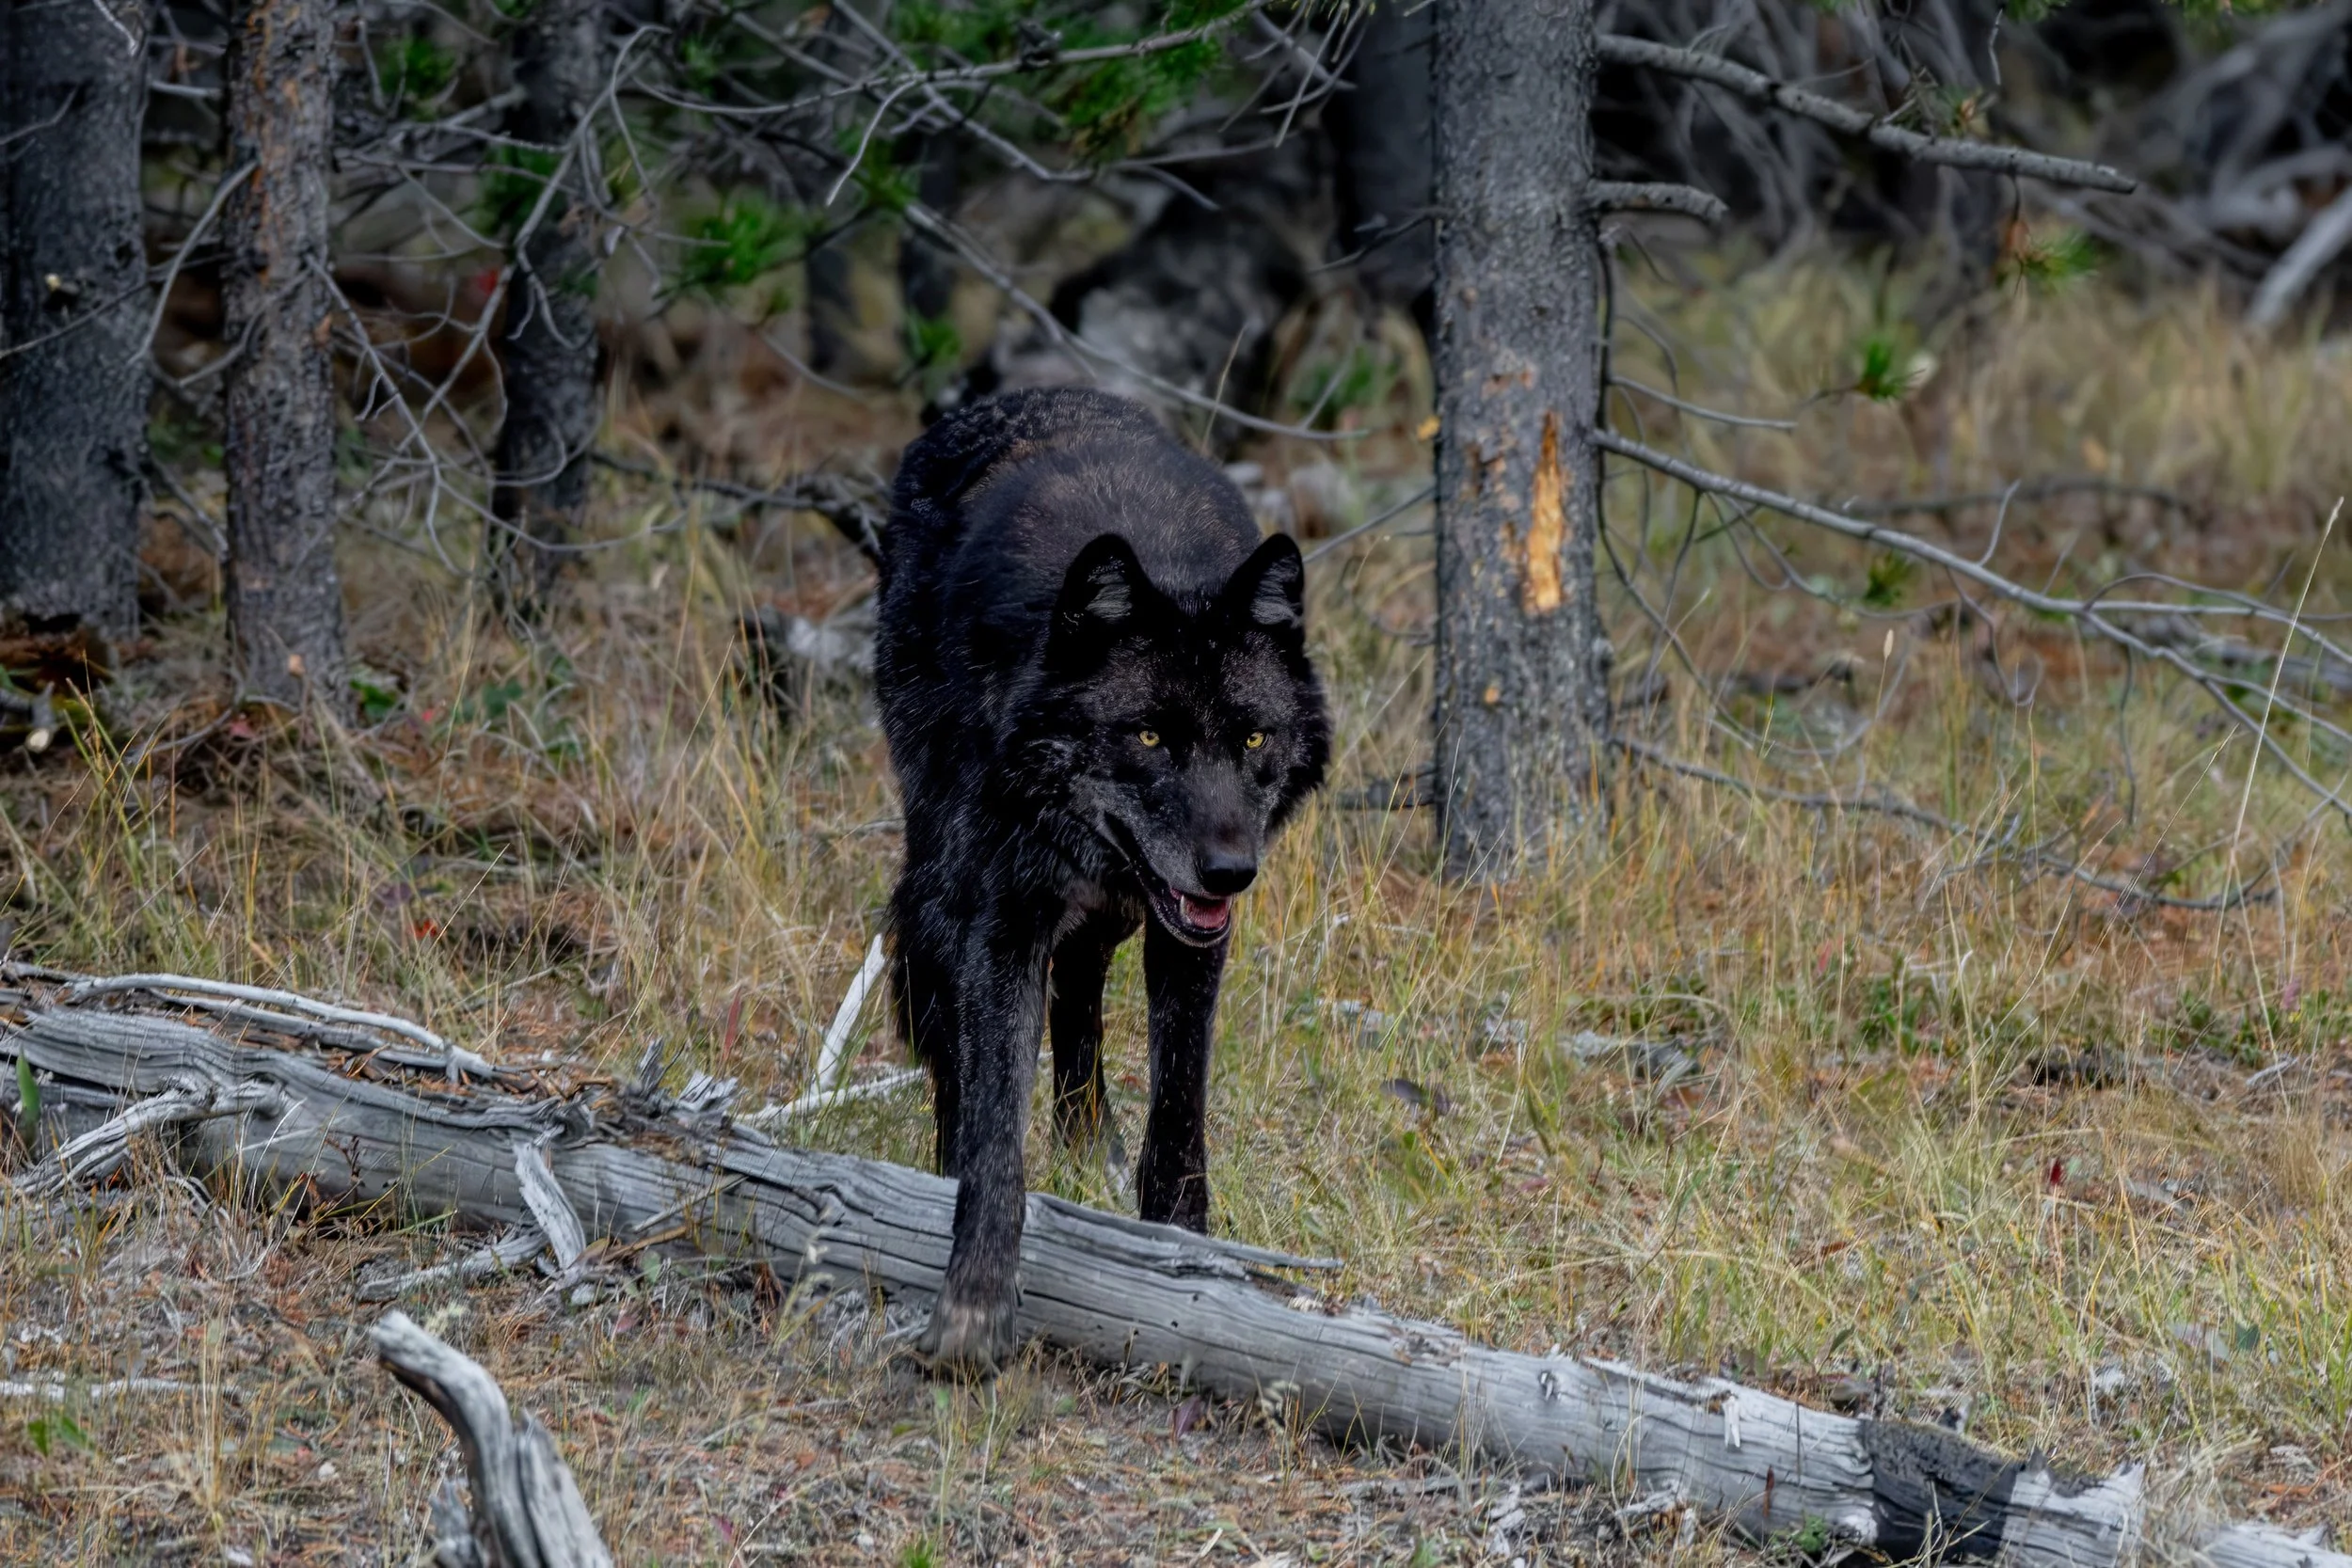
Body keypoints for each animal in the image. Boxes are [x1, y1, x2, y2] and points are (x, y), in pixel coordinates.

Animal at [874, 387, 1329, 1372]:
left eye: (1253, 736)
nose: (1231, 871)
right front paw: (971, 1311)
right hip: (944, 867)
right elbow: (996, 1134)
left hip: (1119, 914)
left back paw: (1086, 1151)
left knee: (1081, 992)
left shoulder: (1191, 939)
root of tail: (1001, 400)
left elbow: (1179, 1118)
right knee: (951, 1019)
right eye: (1151, 735)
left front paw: (1182, 1264)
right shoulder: (1002, 920)